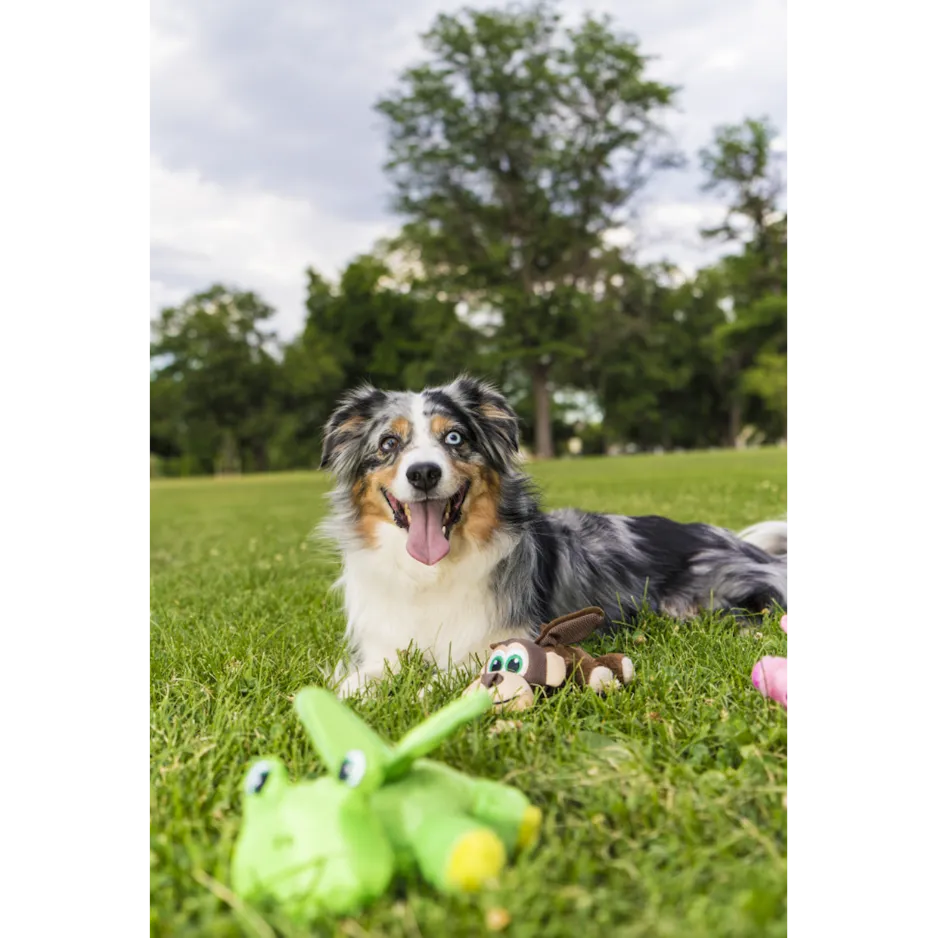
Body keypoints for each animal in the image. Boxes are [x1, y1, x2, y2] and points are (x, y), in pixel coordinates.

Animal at [318, 372, 788, 696]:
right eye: (388, 444)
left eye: (453, 437)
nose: (423, 473)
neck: (430, 573)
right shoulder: (385, 643)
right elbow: (357, 681)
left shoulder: (505, 634)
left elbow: (464, 668)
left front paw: (428, 695)